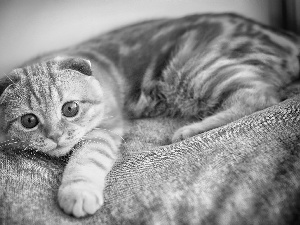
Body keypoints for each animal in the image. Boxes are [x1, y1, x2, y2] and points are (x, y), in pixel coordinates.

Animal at [0, 13, 298, 217]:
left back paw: (191, 130)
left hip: (194, 69)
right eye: (29, 121)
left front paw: (77, 191)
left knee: (257, 97)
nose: (55, 136)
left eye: (70, 109)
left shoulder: (106, 127)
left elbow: (85, 159)